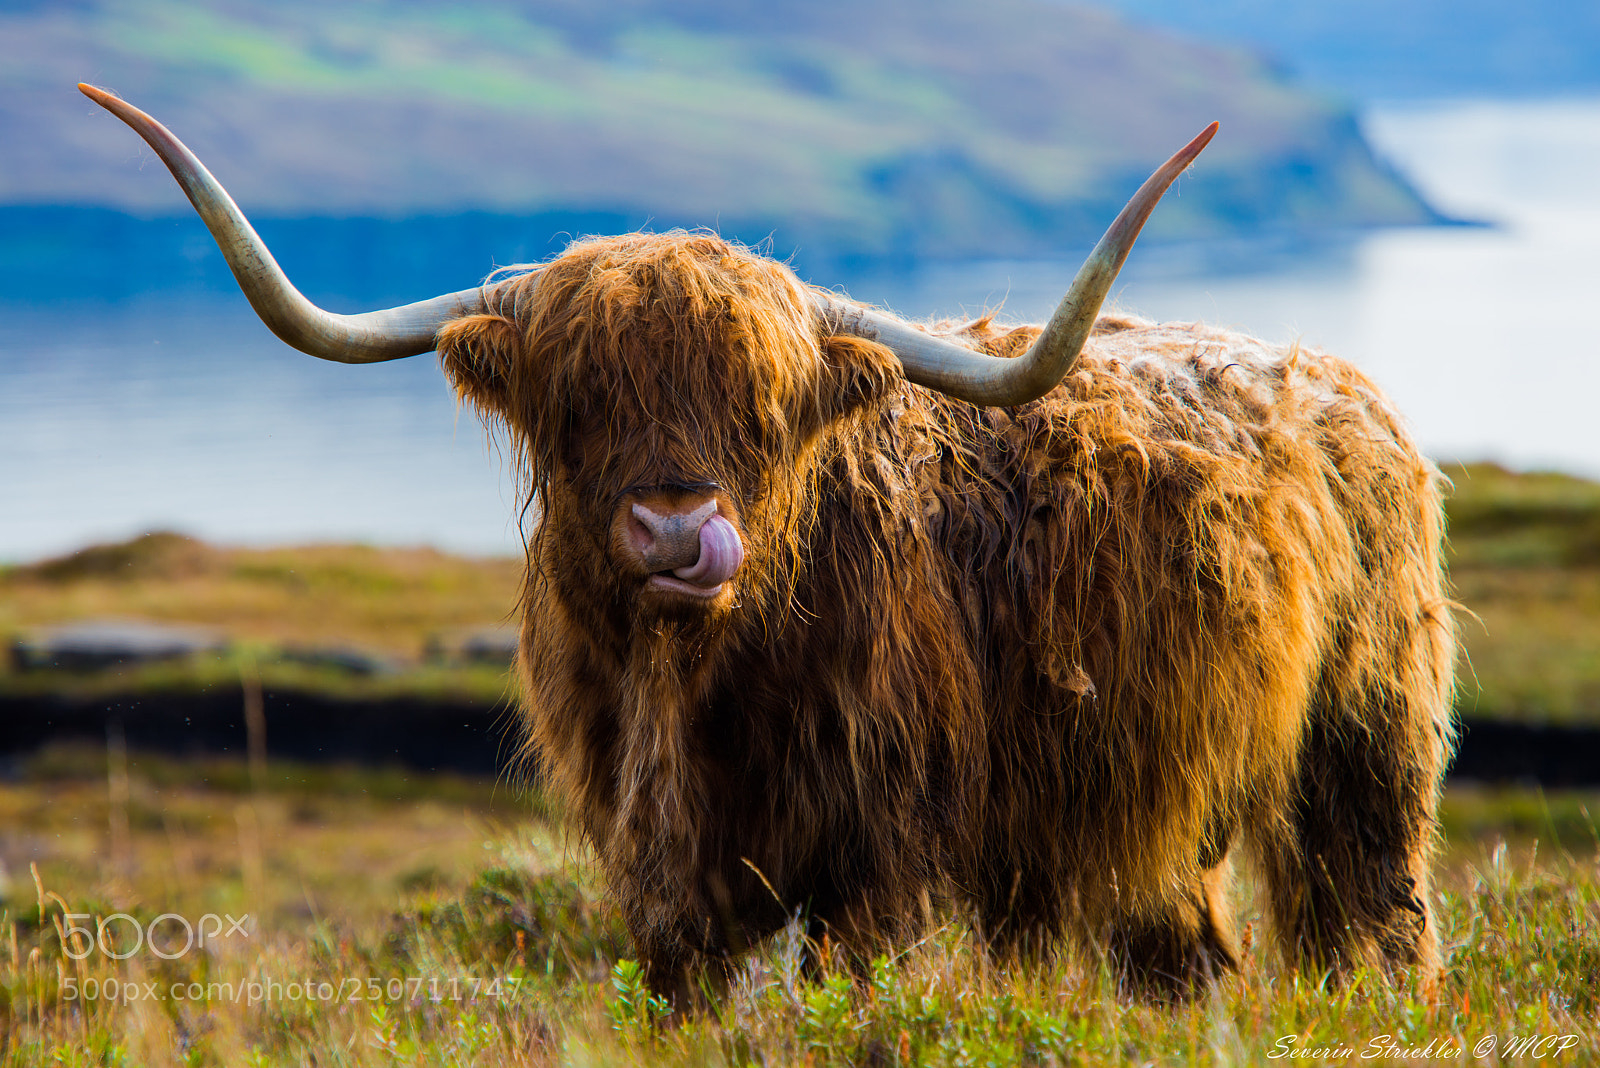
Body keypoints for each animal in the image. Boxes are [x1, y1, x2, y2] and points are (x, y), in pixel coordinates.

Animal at [83, 84, 1456, 1002]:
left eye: (761, 398)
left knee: (1374, 922)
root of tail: (1345, 391)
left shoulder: (876, 864)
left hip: (1364, 749)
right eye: (579, 395)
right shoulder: (662, 883)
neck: (693, 689)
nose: (676, 526)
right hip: (1153, 810)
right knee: (1187, 954)